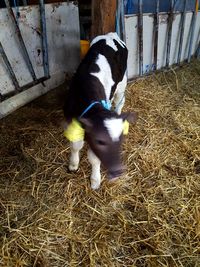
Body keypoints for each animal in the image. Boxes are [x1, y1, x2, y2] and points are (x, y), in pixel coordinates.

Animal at [63, 31, 137, 191]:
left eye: (121, 140)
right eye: (100, 141)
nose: (118, 170)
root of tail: (111, 34)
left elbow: (94, 159)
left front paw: (95, 180)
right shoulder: (71, 119)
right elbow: (75, 145)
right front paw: (73, 164)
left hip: (122, 84)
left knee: (120, 101)